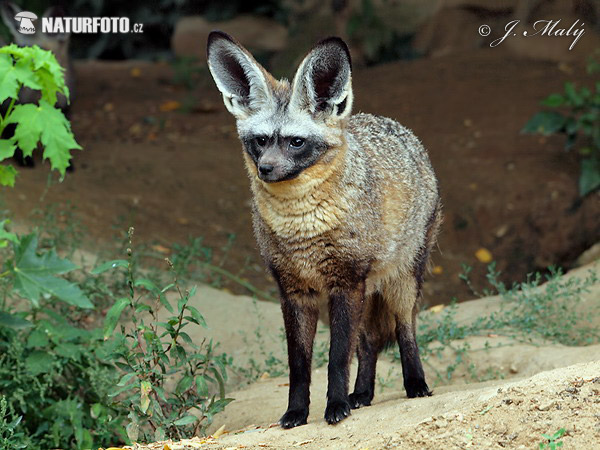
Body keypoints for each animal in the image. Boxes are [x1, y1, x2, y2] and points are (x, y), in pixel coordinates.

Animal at [206, 30, 440, 426]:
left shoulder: (345, 283)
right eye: (261, 141)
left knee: (404, 331)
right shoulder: (295, 291)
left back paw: (415, 384)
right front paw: (297, 412)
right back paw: (363, 394)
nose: (265, 169)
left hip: (400, 283)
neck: (301, 229)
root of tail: (398, 127)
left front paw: (335, 407)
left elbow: (335, 359)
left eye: (295, 142)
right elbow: (300, 365)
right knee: (367, 344)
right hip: (365, 292)